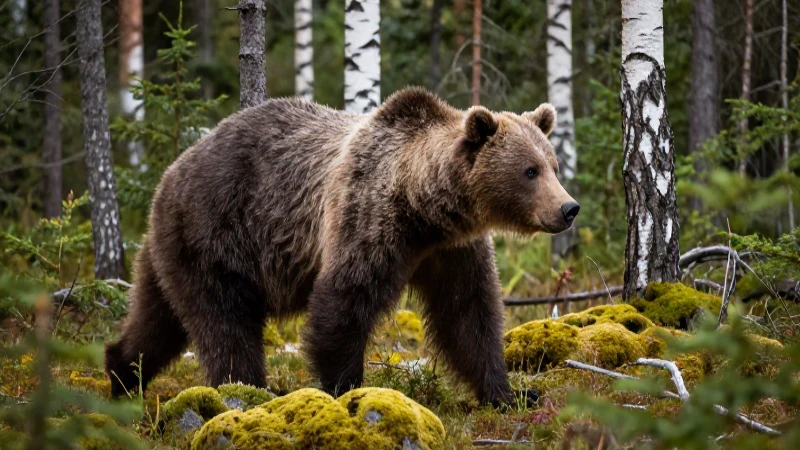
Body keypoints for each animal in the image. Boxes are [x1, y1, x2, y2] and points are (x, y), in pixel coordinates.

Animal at [104, 87, 579, 406]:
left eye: (553, 165)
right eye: (530, 170)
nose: (568, 208)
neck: (426, 210)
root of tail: (168, 175)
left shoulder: (452, 250)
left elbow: (468, 313)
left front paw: (510, 393)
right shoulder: (368, 219)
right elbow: (344, 301)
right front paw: (344, 389)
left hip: (168, 251)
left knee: (157, 317)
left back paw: (121, 372)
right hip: (216, 233)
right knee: (224, 322)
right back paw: (250, 390)